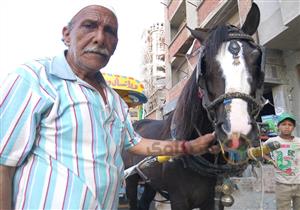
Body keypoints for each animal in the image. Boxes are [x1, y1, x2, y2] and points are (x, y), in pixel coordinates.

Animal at [122, 3, 264, 210]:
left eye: (257, 57)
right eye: (204, 62)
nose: (237, 128)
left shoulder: (212, 199)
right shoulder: (178, 198)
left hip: (150, 182)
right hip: (130, 179)